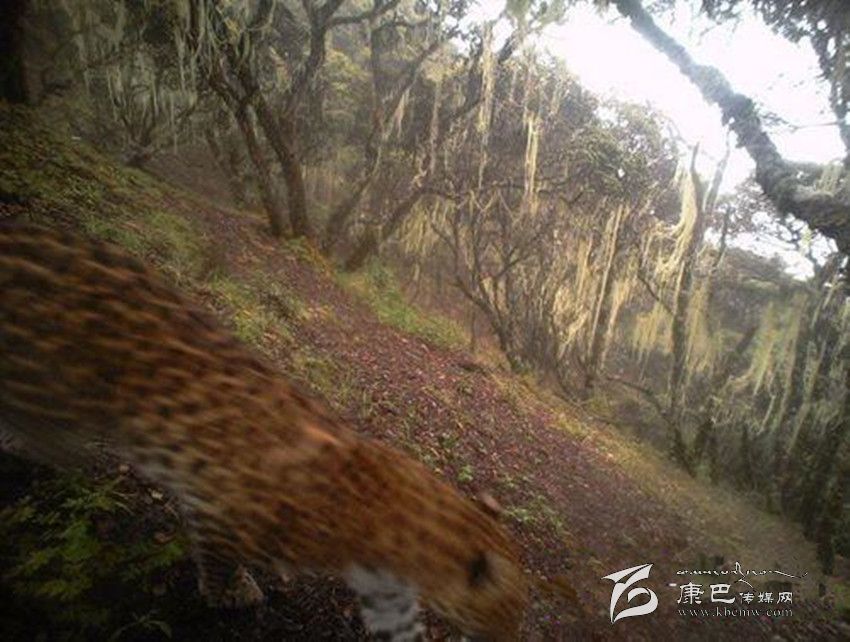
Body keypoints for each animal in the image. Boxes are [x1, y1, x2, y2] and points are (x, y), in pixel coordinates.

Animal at [0, 221, 529, 641]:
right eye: (508, 614)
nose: (509, 640)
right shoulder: (222, 507)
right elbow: (219, 559)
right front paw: (231, 593)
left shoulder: (385, 592)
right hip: (47, 382)